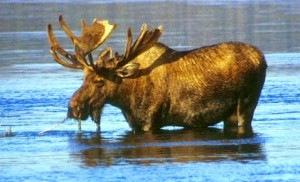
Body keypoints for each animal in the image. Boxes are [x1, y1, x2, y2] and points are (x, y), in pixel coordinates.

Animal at [47, 15, 268, 132]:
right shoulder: (134, 122)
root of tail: (262, 58)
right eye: (83, 78)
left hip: (246, 105)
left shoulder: (150, 120)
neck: (125, 99)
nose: (73, 108)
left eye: (100, 81)